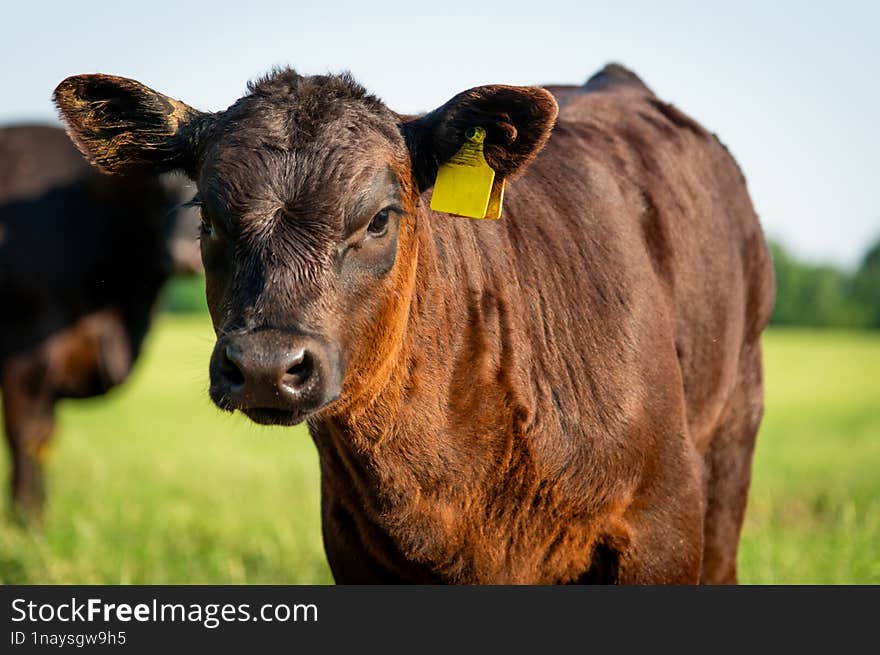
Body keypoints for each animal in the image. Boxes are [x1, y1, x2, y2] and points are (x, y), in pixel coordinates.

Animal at [0, 124, 199, 516]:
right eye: (159, 190)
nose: (187, 256)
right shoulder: (24, 347)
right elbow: (27, 434)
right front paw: (27, 516)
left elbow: (46, 434)